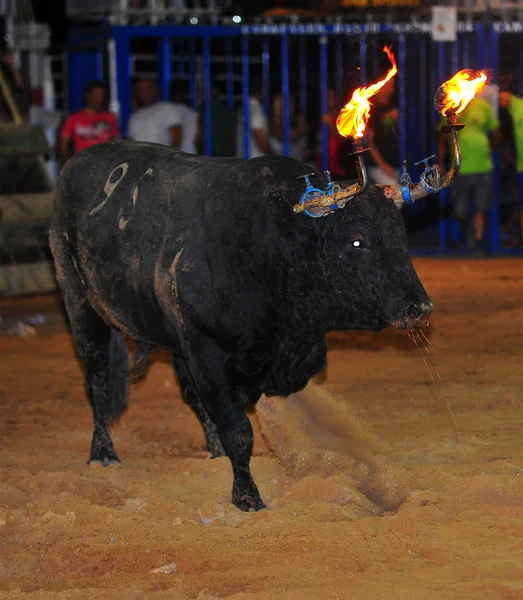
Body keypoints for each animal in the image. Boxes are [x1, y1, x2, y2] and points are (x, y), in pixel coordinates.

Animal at [49, 139, 434, 510]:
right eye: (357, 241)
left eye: (402, 237)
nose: (419, 308)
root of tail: (75, 163)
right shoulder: (207, 354)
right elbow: (238, 429)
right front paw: (247, 496)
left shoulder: (293, 355)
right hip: (80, 305)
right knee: (97, 379)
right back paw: (103, 453)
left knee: (189, 396)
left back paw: (213, 451)